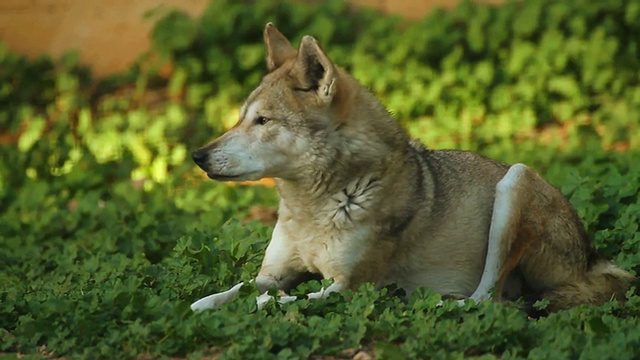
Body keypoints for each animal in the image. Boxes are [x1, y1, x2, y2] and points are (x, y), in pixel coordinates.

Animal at [188, 23, 632, 314]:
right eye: (240, 119)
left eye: (262, 121)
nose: (197, 156)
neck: (316, 206)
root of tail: (594, 259)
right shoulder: (272, 273)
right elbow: (221, 294)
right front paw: (204, 304)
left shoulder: (347, 286)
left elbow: (282, 299)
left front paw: (273, 303)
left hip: (514, 183)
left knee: (488, 299)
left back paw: (437, 300)